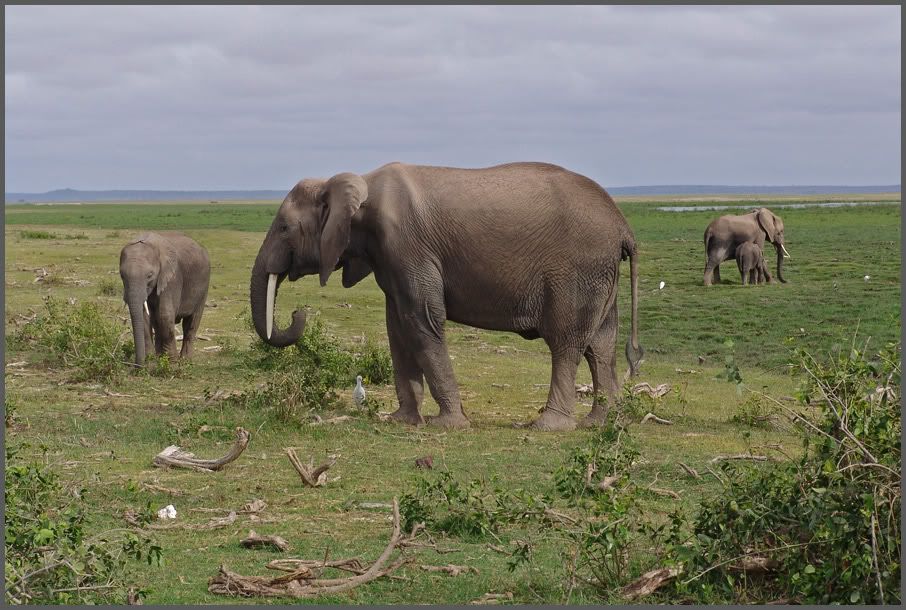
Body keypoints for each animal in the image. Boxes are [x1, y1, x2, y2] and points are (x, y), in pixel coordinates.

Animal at [119, 230, 211, 364]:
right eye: (122, 275)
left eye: (150, 275)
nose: (137, 366)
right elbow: (144, 316)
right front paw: (151, 360)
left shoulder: (172, 277)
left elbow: (165, 315)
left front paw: (171, 362)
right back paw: (160, 357)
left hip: (204, 285)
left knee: (192, 322)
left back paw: (185, 360)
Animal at [247, 160, 644, 428]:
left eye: (284, 228)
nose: (298, 312)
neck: (356, 184)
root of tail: (624, 226)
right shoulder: (389, 257)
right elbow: (397, 327)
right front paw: (401, 420)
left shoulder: (407, 246)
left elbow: (421, 322)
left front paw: (448, 425)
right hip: (599, 274)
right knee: (600, 345)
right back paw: (600, 422)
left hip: (577, 271)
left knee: (566, 342)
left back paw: (548, 426)